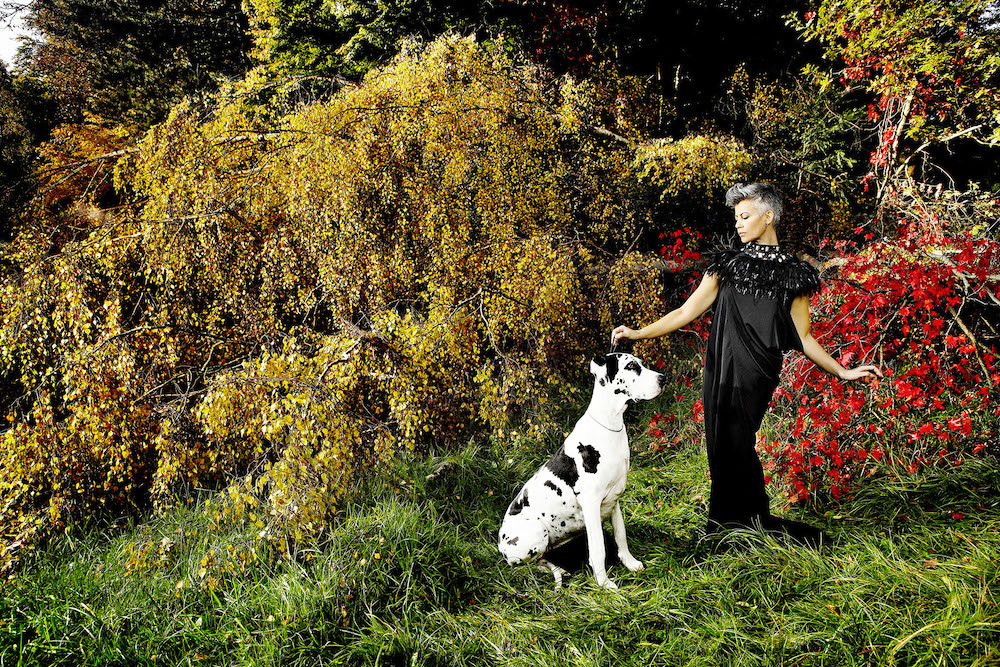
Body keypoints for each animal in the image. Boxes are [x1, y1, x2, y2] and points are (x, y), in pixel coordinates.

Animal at [498, 352, 666, 589]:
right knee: (527, 566)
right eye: (631, 366)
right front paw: (604, 583)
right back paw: (556, 571)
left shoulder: (614, 499)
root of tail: (499, 544)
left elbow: (621, 534)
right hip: (535, 532)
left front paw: (630, 562)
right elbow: (598, 550)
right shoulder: (591, 504)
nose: (663, 378)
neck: (610, 426)